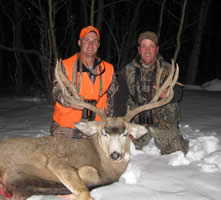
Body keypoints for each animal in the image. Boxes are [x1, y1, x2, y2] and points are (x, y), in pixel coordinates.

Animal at [0, 59, 179, 200]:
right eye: (104, 133)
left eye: (126, 133)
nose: (116, 154)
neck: (103, 164)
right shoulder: (58, 161)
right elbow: (87, 184)